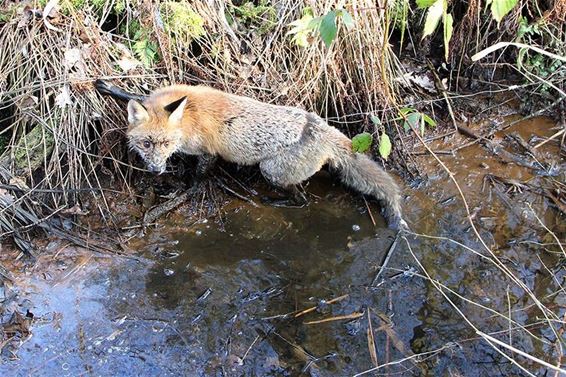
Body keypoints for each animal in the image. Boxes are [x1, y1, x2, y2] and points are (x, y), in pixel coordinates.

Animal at [96, 79, 408, 229]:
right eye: (147, 143)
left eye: (166, 144)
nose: (156, 171)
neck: (188, 116)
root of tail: (321, 126)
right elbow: (137, 95)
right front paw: (110, 88)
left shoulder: (208, 152)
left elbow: (197, 177)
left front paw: (183, 191)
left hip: (271, 171)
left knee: (303, 199)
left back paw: (278, 201)